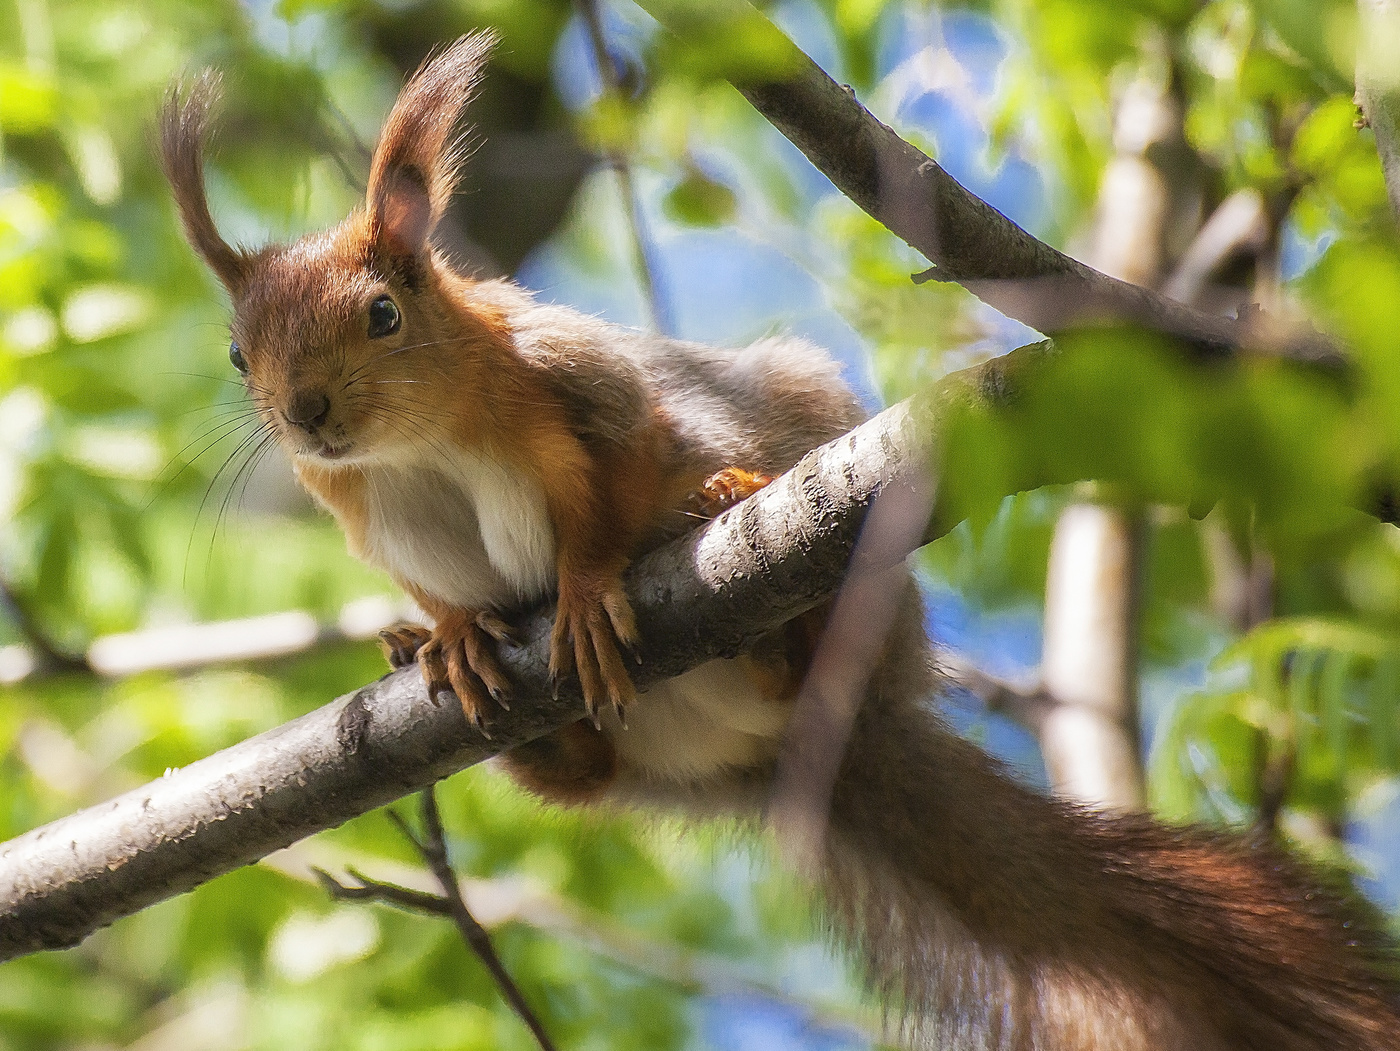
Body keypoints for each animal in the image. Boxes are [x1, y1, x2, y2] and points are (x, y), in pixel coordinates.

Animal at [163, 32, 1400, 1051]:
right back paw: (504, 710)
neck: (411, 449)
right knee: (589, 778)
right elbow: (442, 588)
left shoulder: (591, 393)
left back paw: (744, 563)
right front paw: (452, 629)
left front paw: (588, 583)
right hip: (646, 764)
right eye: (236, 355)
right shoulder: (371, 519)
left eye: (383, 313)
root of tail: (831, 746)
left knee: (780, 636)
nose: (306, 416)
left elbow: (620, 480)